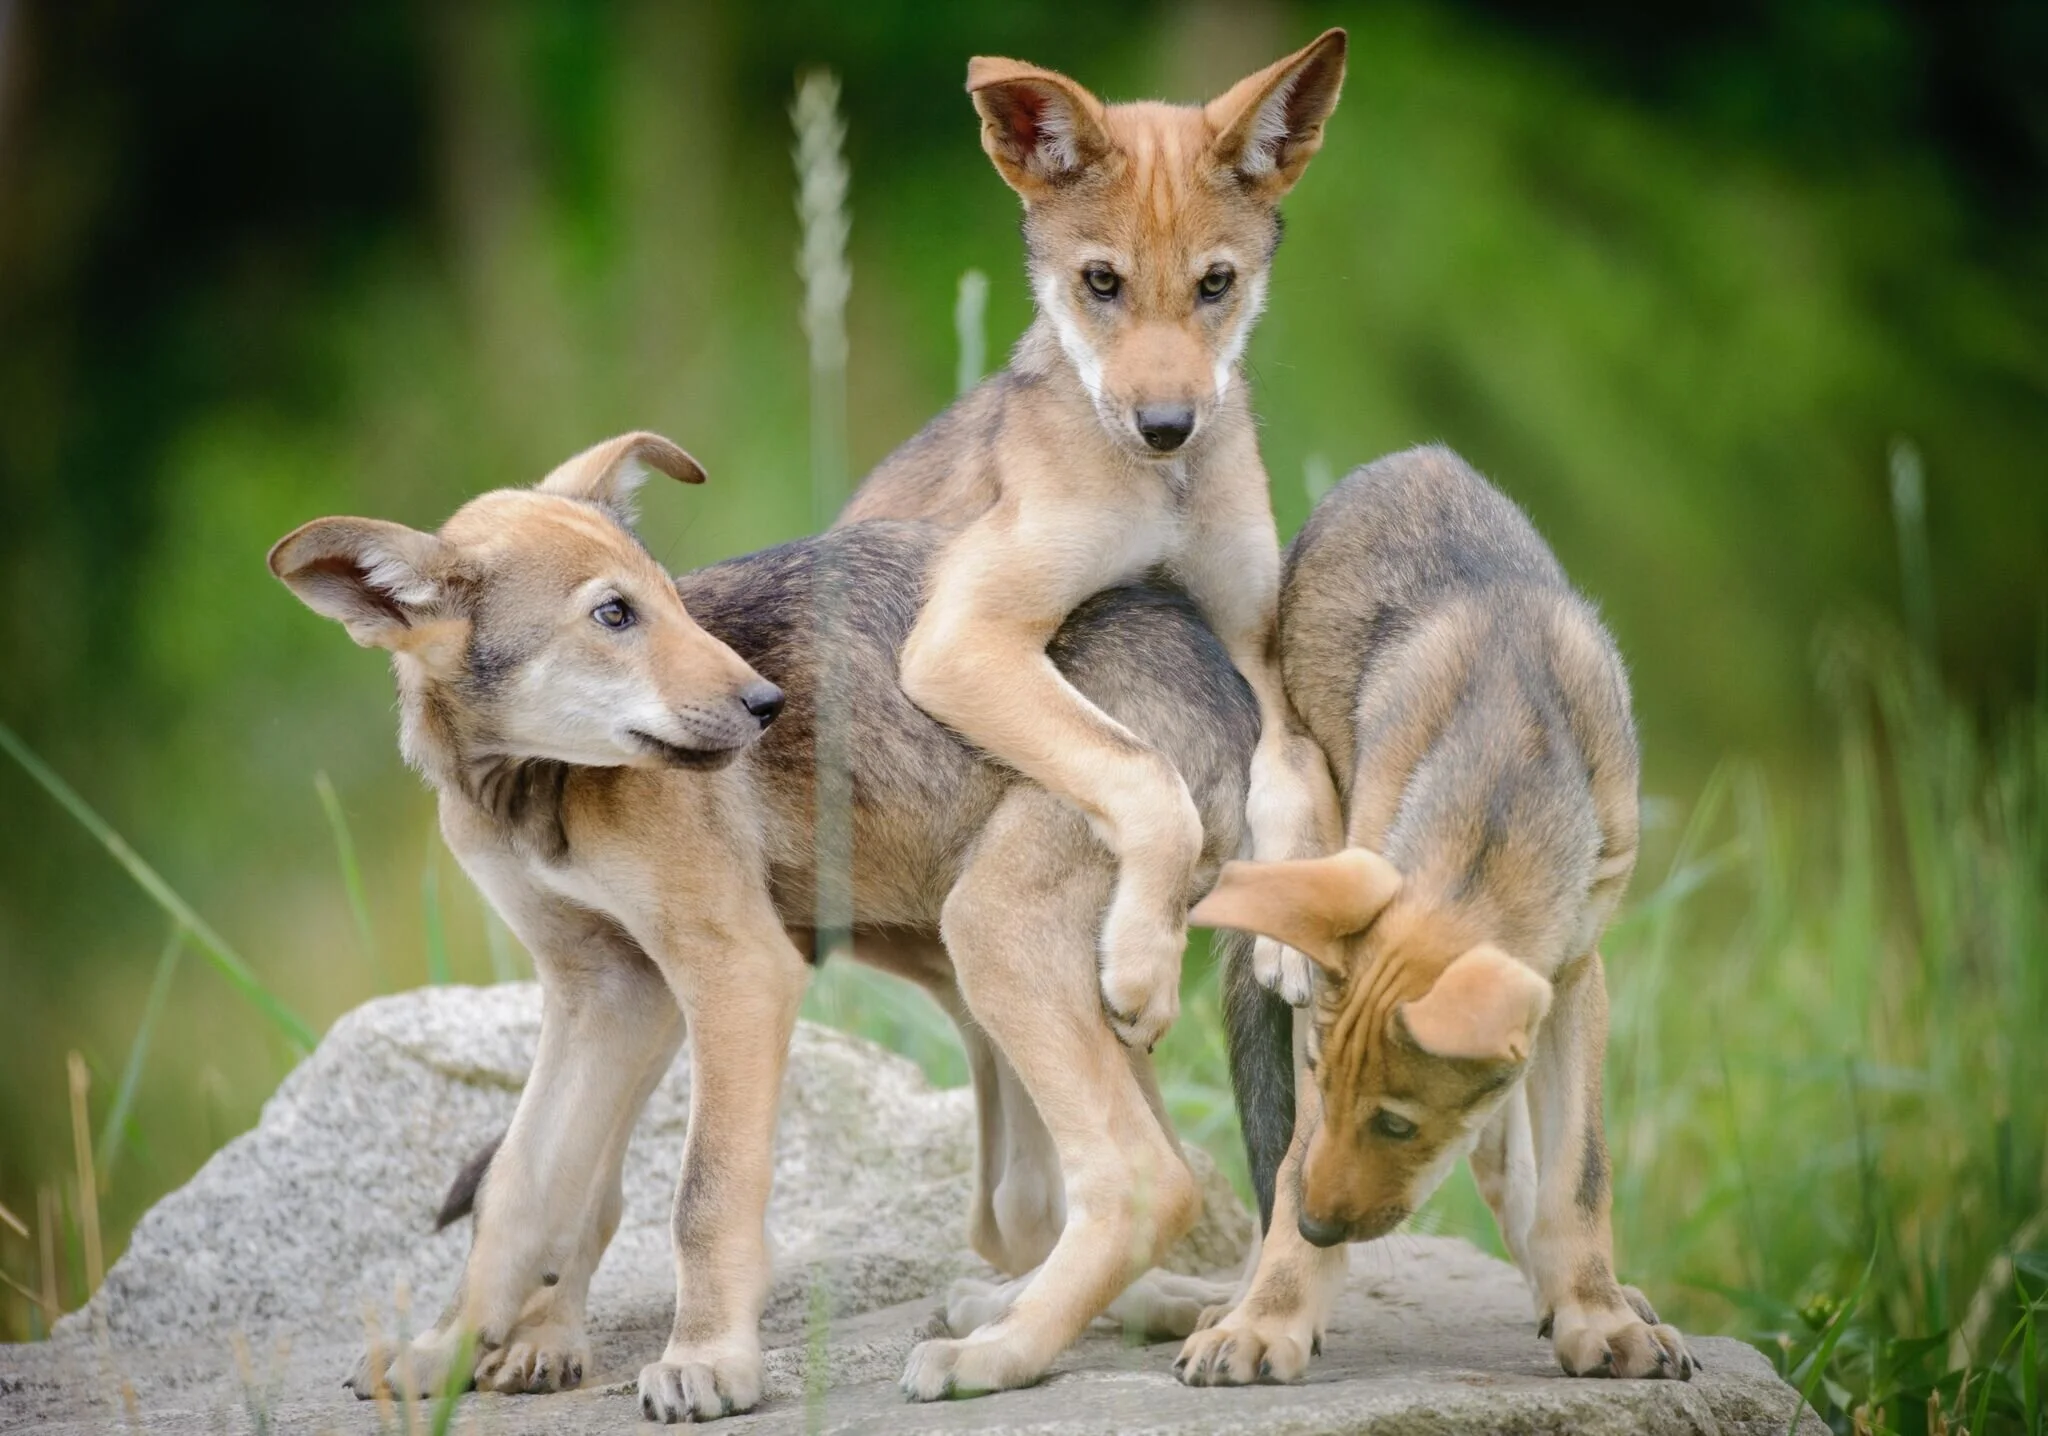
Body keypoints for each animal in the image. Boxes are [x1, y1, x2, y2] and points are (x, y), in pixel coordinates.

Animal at [1174, 446, 1696, 1385]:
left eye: (1396, 1123)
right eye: (1326, 1083)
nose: (1316, 1228)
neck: (1501, 798)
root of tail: (1417, 458)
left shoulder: (1575, 979)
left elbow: (1579, 1174)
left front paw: (1596, 1313)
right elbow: (1287, 1166)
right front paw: (1264, 1323)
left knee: (1507, 1162)